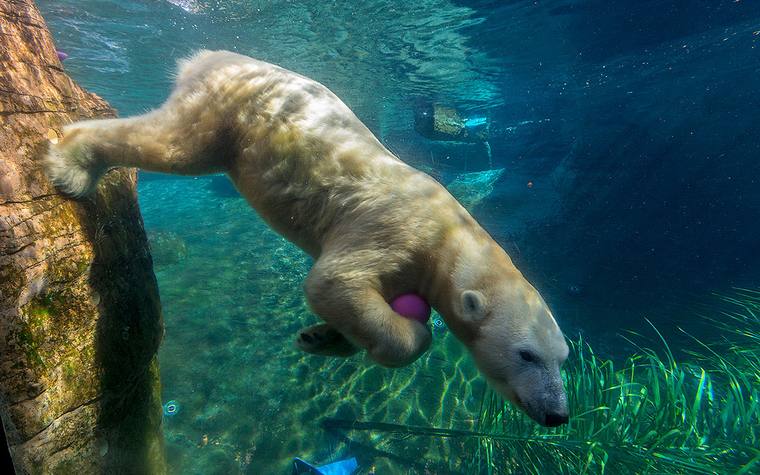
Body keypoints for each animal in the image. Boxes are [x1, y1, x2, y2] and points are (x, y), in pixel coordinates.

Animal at [44, 50, 570, 427]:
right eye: (526, 354)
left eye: (562, 358)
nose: (557, 414)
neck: (449, 235)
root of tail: (208, 56)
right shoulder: (394, 232)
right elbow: (333, 282)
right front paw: (408, 334)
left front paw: (321, 337)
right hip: (230, 112)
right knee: (172, 145)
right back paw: (71, 162)